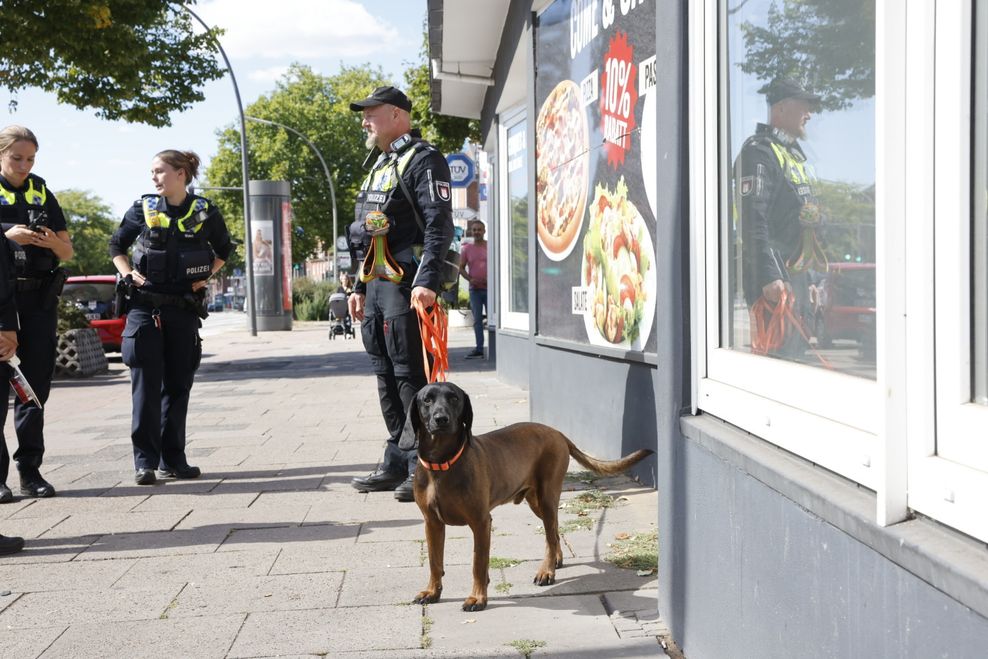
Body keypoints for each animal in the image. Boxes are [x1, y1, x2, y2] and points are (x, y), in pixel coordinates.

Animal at [402, 382, 656, 612]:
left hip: (547, 497)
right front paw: (432, 592)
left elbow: (478, 564)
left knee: (551, 536)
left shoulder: (481, 522)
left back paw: (547, 571)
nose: (441, 419)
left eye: (454, 398)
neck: (442, 463)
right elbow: (435, 562)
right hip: (536, 502)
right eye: (427, 400)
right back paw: (555, 561)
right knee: (554, 532)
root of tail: (557, 433)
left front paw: (477, 598)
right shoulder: (432, 523)